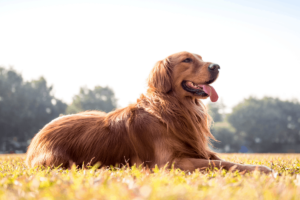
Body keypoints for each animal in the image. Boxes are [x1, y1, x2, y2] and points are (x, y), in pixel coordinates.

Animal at [25, 51, 272, 173]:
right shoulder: (170, 163)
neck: (175, 108)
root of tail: (36, 138)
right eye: (187, 60)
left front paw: (259, 167)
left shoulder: (196, 150)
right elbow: (221, 164)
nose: (217, 66)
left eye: (202, 59)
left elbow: (225, 160)